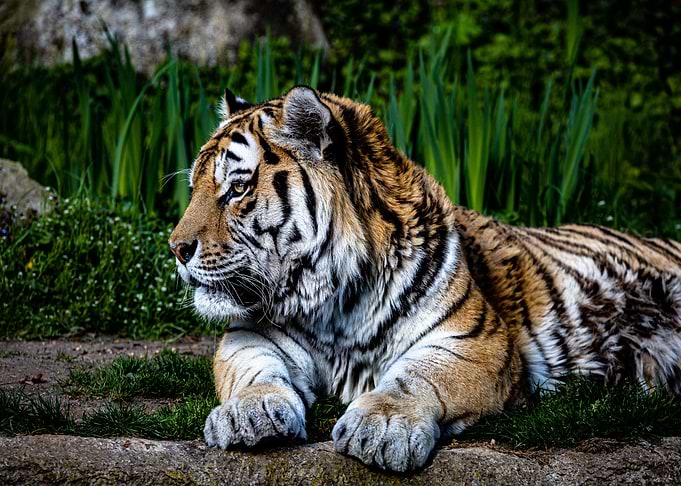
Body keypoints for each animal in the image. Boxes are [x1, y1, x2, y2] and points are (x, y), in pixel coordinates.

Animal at [169, 86, 681, 472]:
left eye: (237, 189)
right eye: (194, 188)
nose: (176, 248)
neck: (335, 306)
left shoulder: (474, 340)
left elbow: (415, 377)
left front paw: (382, 427)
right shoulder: (249, 335)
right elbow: (254, 371)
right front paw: (247, 414)